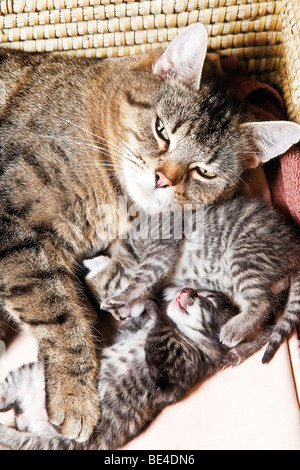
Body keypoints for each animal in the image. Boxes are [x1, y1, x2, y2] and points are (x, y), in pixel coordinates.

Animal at [100, 196, 300, 364]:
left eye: (109, 289)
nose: (120, 317)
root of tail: (293, 244)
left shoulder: (161, 246)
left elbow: (143, 276)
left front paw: (122, 296)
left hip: (244, 253)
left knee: (262, 301)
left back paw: (235, 328)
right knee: (268, 323)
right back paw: (239, 350)